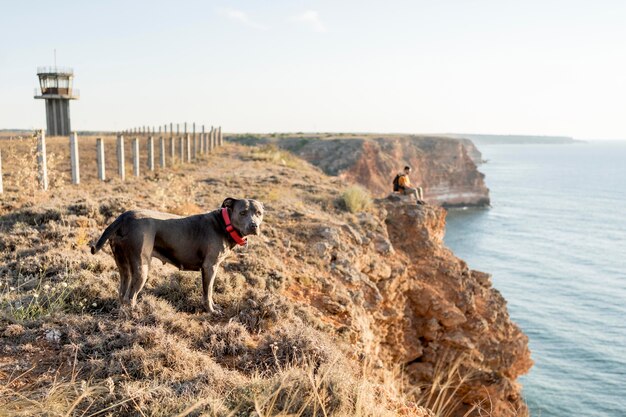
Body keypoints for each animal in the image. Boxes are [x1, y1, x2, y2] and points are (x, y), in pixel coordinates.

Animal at [91, 197, 264, 310]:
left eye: (259, 213)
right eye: (243, 212)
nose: (254, 226)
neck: (224, 224)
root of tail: (124, 216)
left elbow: (210, 292)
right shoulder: (210, 267)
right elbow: (207, 292)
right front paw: (210, 310)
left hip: (123, 265)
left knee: (122, 292)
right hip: (141, 268)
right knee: (131, 297)